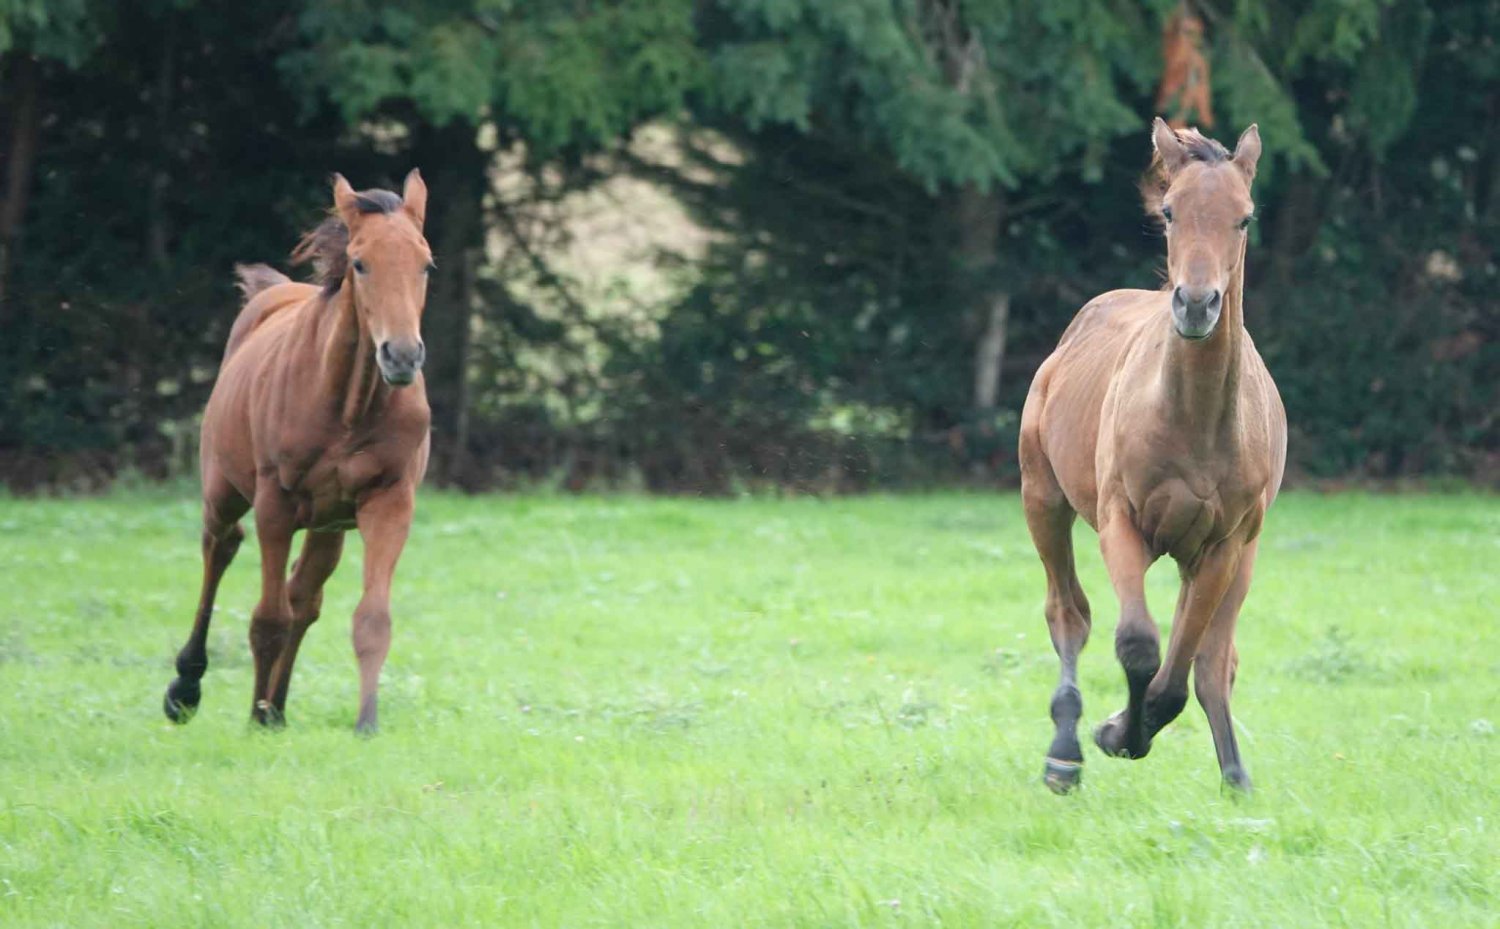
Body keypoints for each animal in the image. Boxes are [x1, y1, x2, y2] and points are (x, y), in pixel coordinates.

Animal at [163, 171, 434, 733]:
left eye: (426, 263)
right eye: (360, 263)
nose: (401, 356)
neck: (348, 405)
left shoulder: (389, 502)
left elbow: (371, 619)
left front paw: (366, 723)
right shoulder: (276, 503)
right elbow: (267, 618)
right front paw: (246, 717)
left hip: (329, 525)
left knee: (304, 596)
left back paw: (276, 709)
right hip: (224, 492)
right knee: (219, 550)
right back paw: (189, 689)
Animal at [1019, 119, 1286, 793]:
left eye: (1244, 217)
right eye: (1169, 212)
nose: (1195, 303)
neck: (1194, 421)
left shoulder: (1222, 546)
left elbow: (1183, 667)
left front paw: (1125, 731)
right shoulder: (1122, 521)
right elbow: (1138, 643)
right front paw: (1112, 736)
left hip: (1239, 555)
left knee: (1215, 659)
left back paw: (1235, 775)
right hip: (1042, 499)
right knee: (1069, 613)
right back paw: (1063, 753)